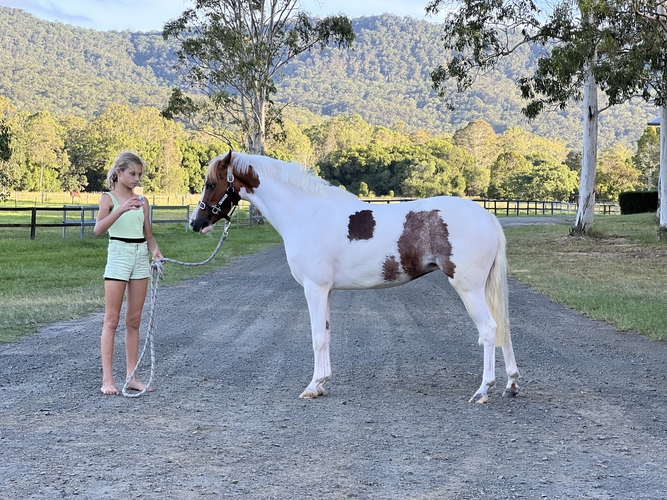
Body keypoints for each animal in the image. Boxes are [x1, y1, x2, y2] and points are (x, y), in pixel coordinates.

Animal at [191, 151, 520, 403]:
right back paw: (511, 383)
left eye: (211, 183)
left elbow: (317, 337)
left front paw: (312, 386)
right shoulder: (326, 291)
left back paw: (483, 391)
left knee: (489, 330)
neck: (306, 214)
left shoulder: (314, 289)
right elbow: (326, 334)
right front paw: (321, 383)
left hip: (468, 287)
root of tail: (487, 216)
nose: (196, 223)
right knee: (503, 328)